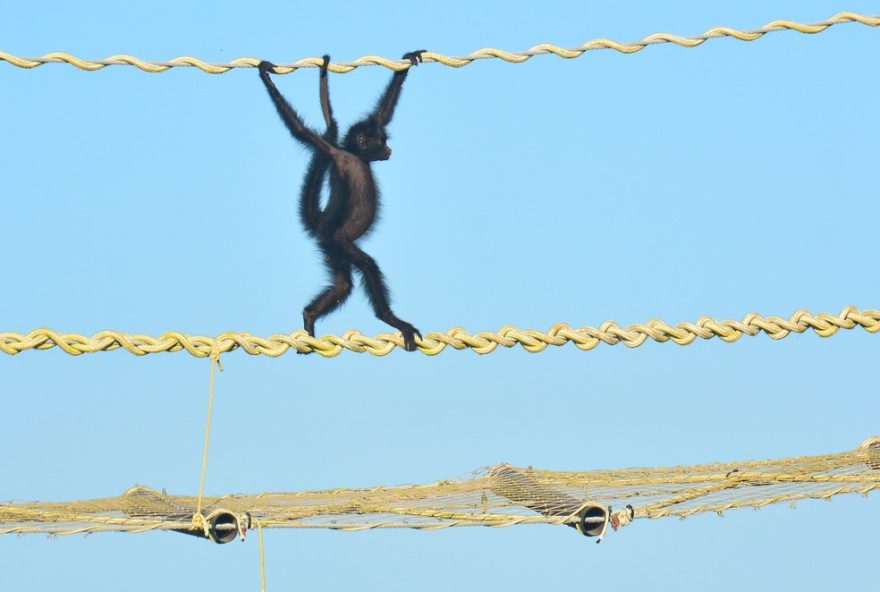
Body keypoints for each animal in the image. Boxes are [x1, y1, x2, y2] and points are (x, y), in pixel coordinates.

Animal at [258, 51, 425, 351]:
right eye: (381, 142)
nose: (389, 149)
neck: (357, 157)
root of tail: (323, 227)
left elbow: (382, 112)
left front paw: (408, 59)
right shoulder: (338, 155)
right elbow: (303, 132)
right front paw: (266, 77)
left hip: (333, 250)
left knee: (343, 285)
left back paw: (309, 315)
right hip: (339, 241)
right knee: (366, 267)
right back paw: (392, 319)